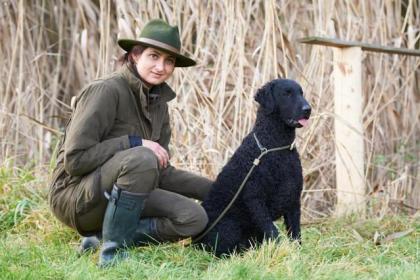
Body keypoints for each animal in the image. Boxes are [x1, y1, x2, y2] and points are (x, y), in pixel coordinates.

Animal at [195, 78, 310, 256]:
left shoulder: (293, 198)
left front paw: (297, 254)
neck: (275, 147)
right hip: (230, 226)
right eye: (287, 93)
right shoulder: (255, 198)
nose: (308, 109)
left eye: (301, 93)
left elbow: (295, 233)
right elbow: (273, 232)